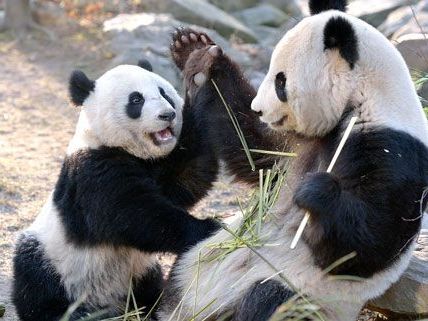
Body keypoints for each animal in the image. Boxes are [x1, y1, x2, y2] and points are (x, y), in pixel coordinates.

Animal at [12, 60, 221, 320]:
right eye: (136, 100)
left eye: (164, 93)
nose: (168, 115)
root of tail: (106, 304)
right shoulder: (91, 172)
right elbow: (133, 214)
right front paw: (207, 227)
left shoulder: (158, 168)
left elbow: (187, 177)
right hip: (55, 259)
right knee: (35, 280)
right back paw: (62, 312)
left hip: (140, 271)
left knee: (148, 286)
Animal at [158, 0, 428, 320]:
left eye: (280, 81)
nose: (259, 109)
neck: (364, 98)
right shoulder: (293, 142)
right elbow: (253, 149)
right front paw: (196, 54)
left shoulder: (393, 151)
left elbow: (369, 243)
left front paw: (316, 190)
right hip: (201, 257)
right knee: (180, 273)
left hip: (305, 293)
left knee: (269, 298)